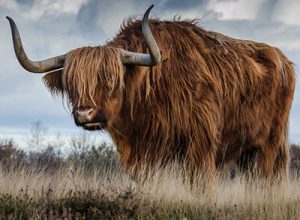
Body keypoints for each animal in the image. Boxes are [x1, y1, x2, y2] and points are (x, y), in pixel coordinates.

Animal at [6, 6, 296, 180]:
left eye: (111, 79)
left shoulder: (200, 145)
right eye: (71, 83)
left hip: (269, 145)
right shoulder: (141, 153)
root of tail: (283, 59)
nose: (84, 113)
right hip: (248, 151)